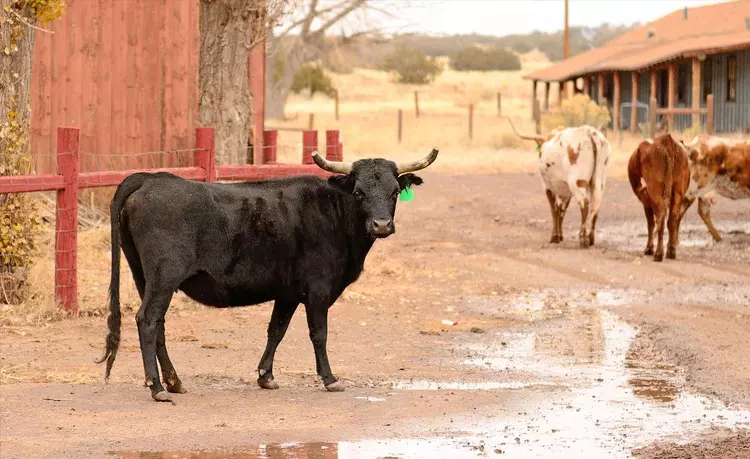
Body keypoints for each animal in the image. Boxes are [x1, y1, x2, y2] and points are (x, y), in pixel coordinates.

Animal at [99, 149, 440, 400]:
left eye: (394, 192)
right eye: (358, 192)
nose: (381, 225)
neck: (334, 211)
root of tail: (150, 179)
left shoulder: (288, 292)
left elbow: (276, 330)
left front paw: (266, 376)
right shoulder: (318, 289)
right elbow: (319, 333)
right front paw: (330, 378)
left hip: (144, 276)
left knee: (159, 325)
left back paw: (174, 382)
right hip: (164, 276)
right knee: (148, 320)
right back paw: (157, 387)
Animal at [512, 118, 612, 248]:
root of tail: (589, 132)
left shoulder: (547, 187)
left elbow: (554, 209)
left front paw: (555, 236)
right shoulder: (565, 192)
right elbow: (562, 210)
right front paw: (560, 236)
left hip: (577, 183)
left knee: (584, 204)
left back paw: (582, 238)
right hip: (599, 181)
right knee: (595, 206)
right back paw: (591, 238)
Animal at [628, 134, 692, 262]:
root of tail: (668, 142)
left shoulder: (647, 198)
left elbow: (650, 222)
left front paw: (649, 250)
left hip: (655, 188)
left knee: (659, 217)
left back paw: (658, 254)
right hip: (678, 186)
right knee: (672, 218)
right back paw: (671, 252)